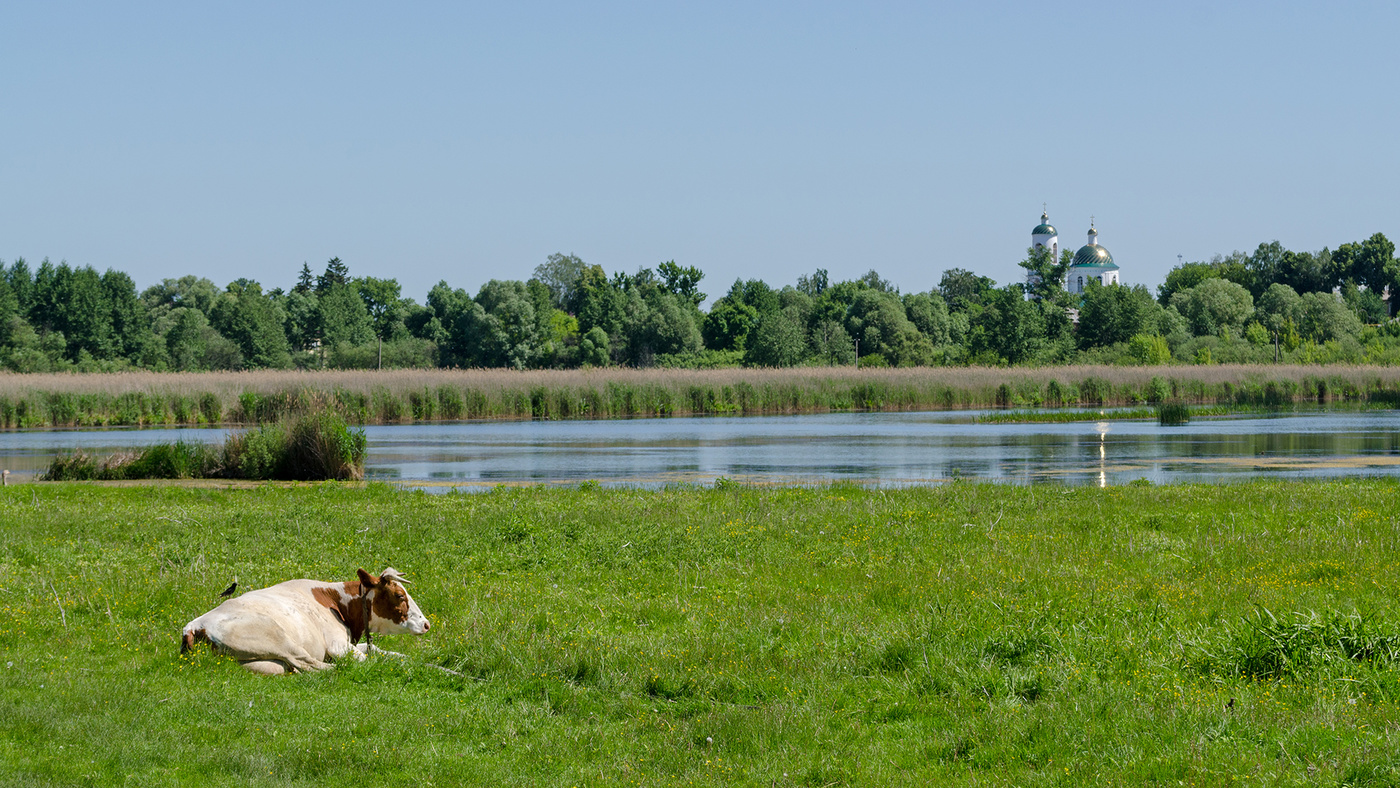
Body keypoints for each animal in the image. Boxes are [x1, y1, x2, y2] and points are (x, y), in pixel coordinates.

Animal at [182, 565, 431, 674]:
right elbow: (366, 659)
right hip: (277, 638)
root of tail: (195, 625)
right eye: (399, 595)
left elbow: (379, 650)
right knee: (307, 663)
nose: (426, 624)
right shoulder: (338, 646)